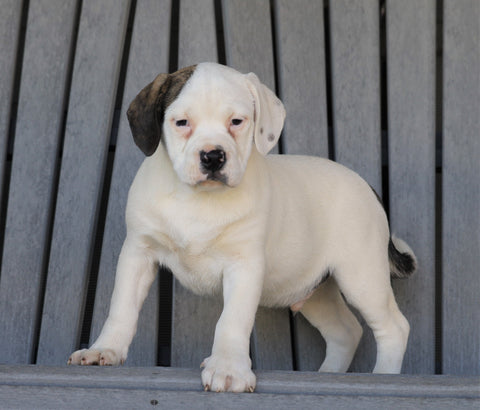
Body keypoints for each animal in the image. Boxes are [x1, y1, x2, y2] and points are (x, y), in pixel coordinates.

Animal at [68, 62, 416, 392]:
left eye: (236, 122)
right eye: (181, 123)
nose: (212, 155)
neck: (197, 200)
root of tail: (368, 188)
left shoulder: (244, 265)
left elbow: (232, 320)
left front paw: (228, 369)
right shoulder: (138, 253)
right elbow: (122, 307)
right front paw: (106, 349)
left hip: (361, 275)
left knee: (393, 327)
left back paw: (384, 377)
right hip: (317, 289)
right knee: (346, 331)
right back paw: (329, 374)